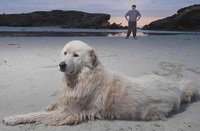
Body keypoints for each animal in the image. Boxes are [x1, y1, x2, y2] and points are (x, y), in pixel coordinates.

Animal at [2, 40, 198, 126]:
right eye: (65, 53)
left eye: (76, 55)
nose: (61, 64)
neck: (82, 77)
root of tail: (177, 86)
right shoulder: (66, 102)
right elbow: (52, 105)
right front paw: (48, 106)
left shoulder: (69, 112)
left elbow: (37, 115)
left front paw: (13, 118)